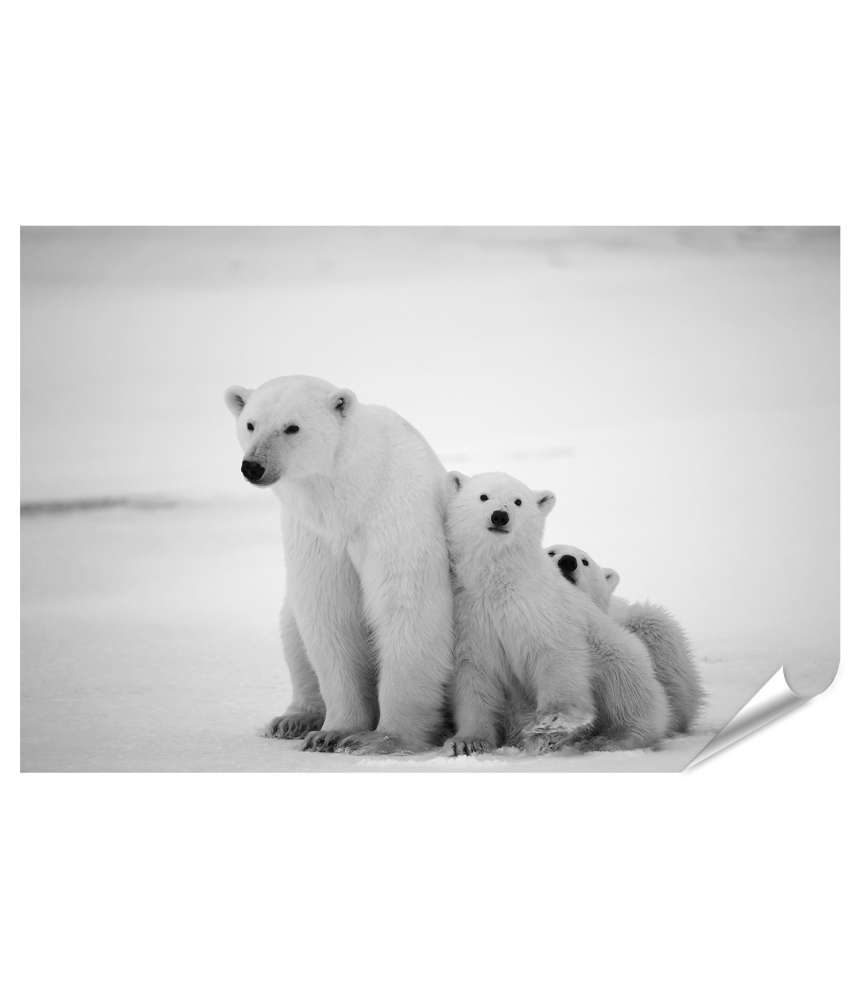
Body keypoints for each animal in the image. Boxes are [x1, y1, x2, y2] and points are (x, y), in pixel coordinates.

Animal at [222, 376, 454, 752]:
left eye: (292, 427)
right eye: (251, 424)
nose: (253, 466)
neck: (351, 494)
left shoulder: (394, 515)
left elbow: (406, 606)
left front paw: (382, 738)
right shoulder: (315, 533)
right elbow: (329, 613)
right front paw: (332, 733)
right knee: (292, 630)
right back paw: (293, 719)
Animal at [440, 472, 668, 752]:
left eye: (518, 501)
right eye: (483, 496)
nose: (499, 516)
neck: (500, 581)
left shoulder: (541, 607)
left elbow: (556, 656)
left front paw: (551, 725)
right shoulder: (471, 615)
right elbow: (474, 675)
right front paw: (467, 742)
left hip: (616, 652)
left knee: (627, 689)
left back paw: (613, 738)